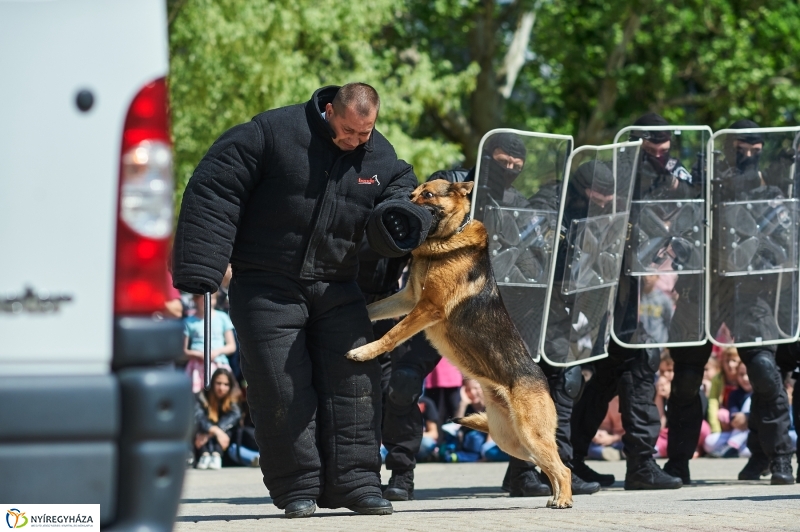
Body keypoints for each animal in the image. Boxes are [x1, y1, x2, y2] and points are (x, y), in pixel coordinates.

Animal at [346, 178, 572, 508]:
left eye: (427, 194)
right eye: (412, 193)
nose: (402, 204)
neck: (446, 239)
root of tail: (541, 380)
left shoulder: (426, 308)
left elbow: (392, 334)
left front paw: (363, 351)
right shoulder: (408, 299)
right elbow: (374, 308)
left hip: (530, 435)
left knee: (562, 467)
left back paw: (563, 499)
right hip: (512, 441)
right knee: (550, 465)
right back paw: (555, 496)